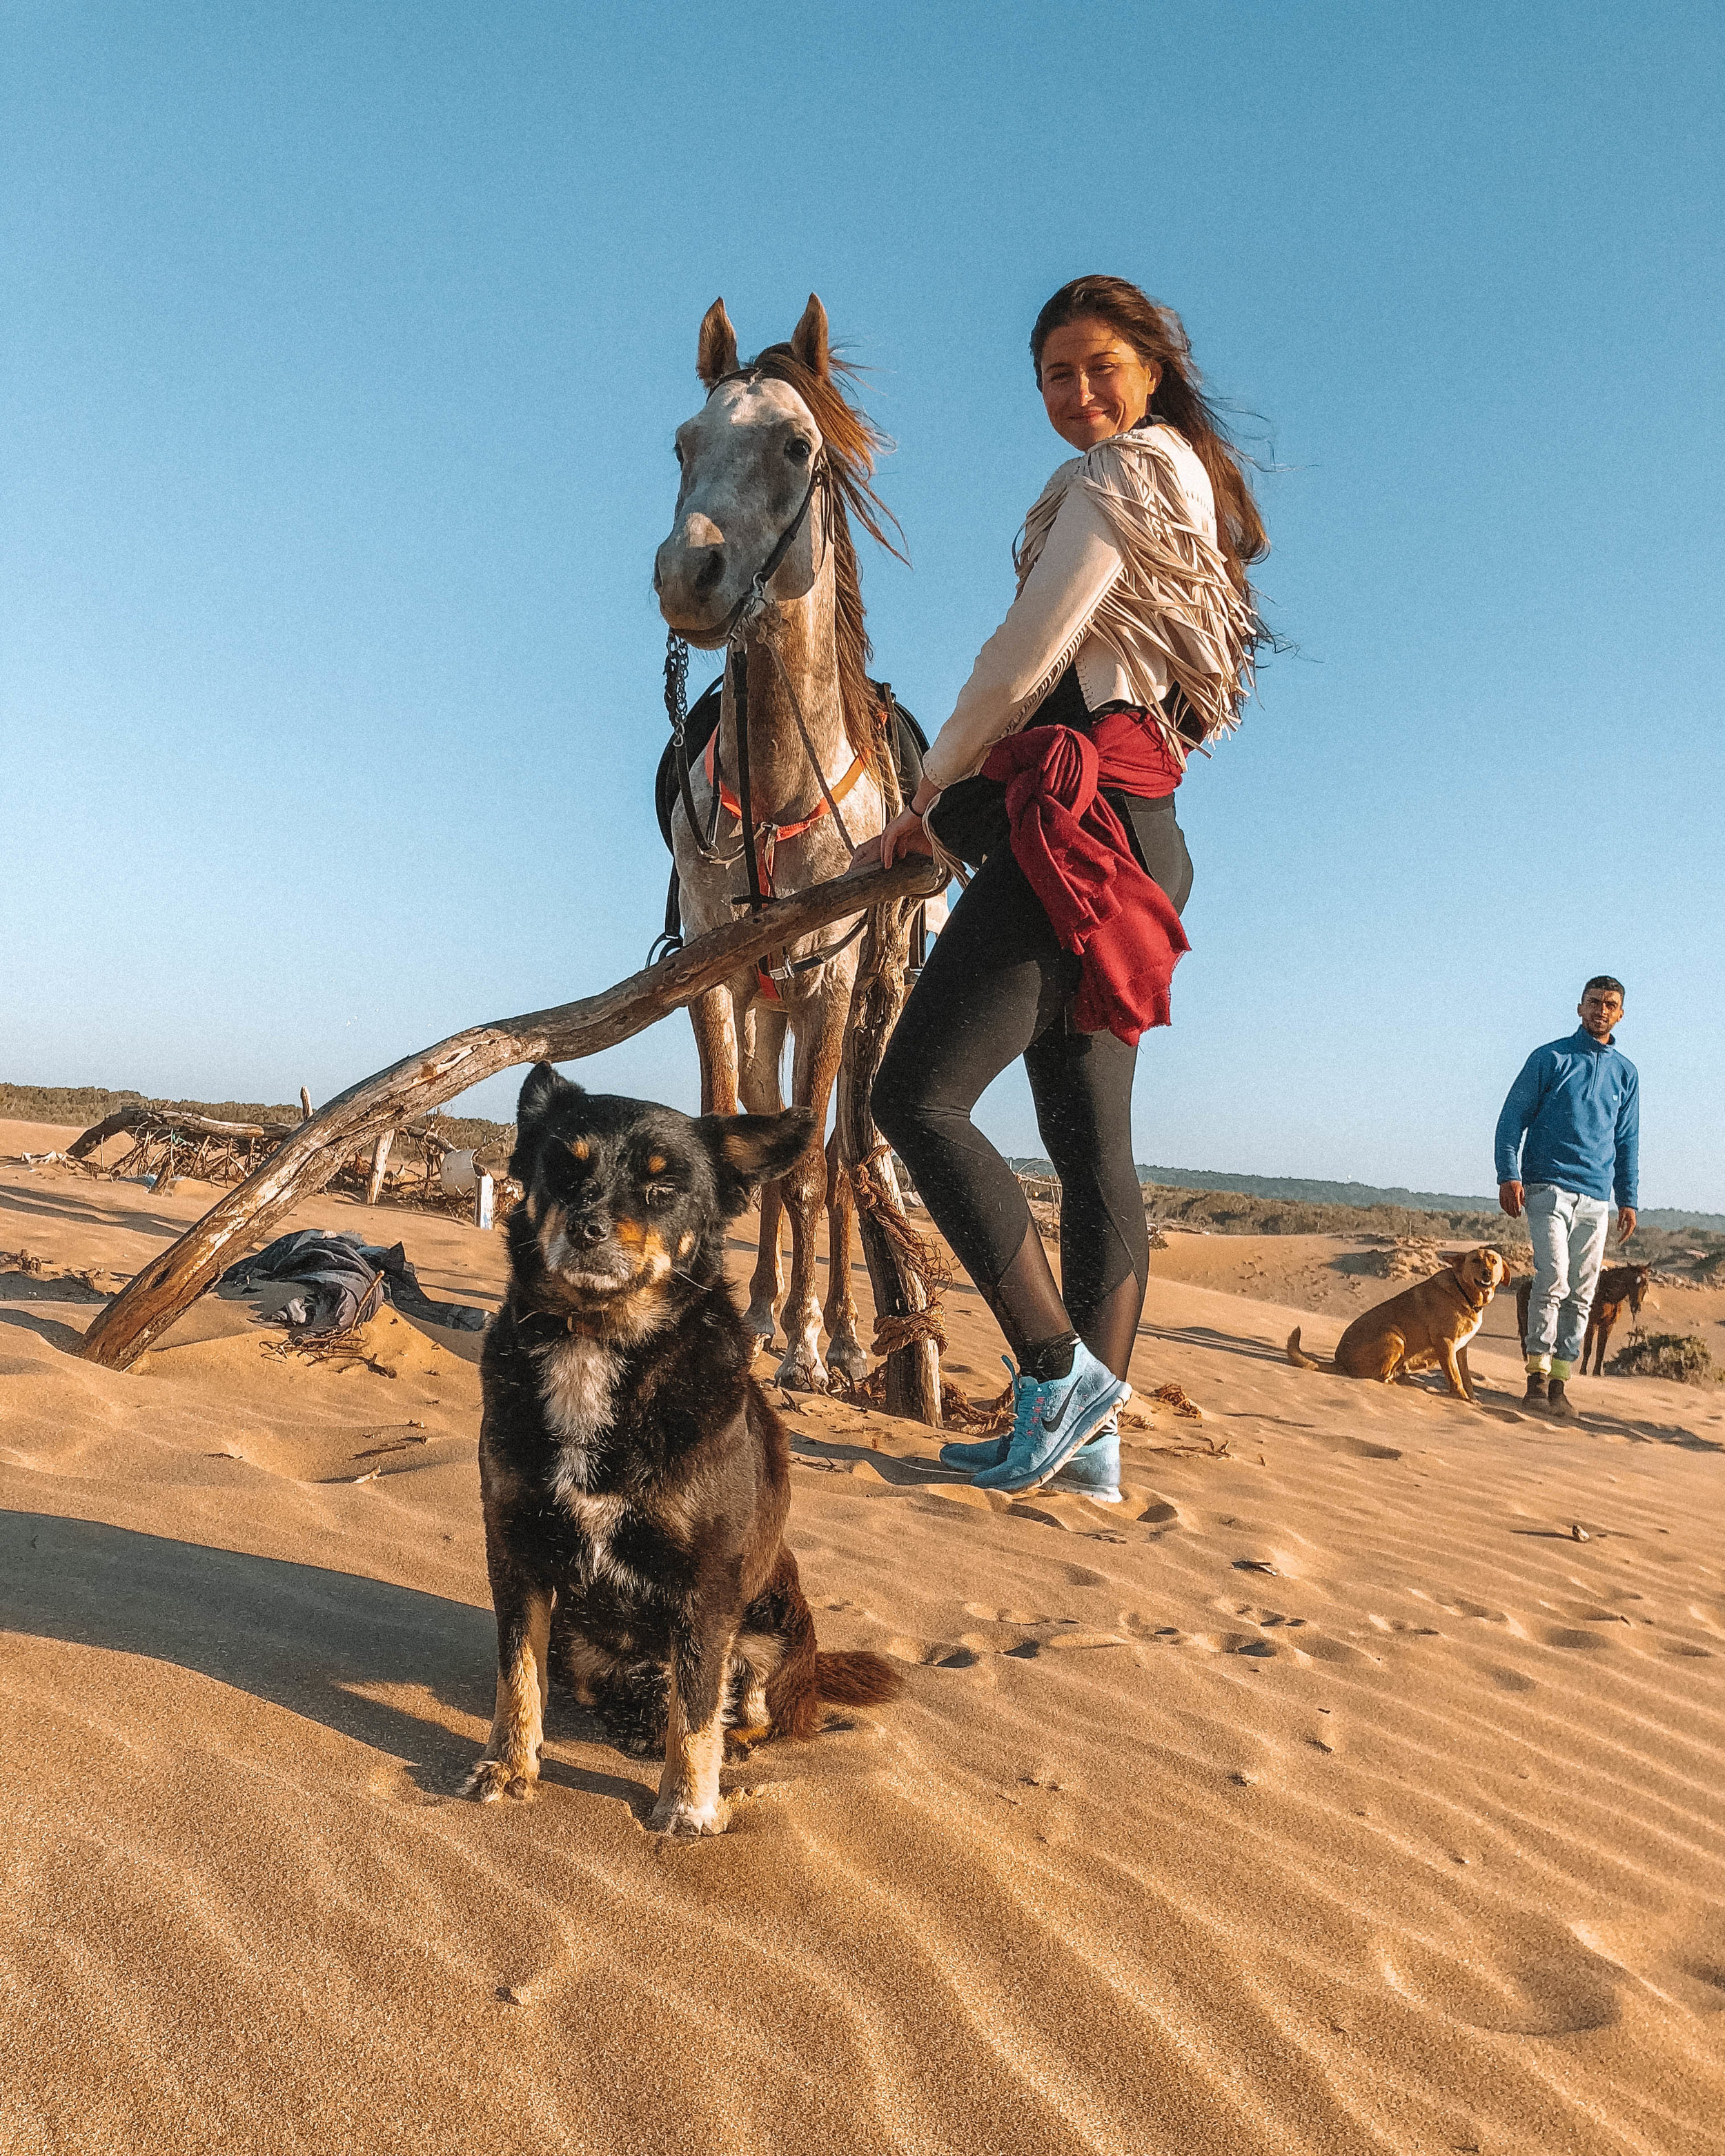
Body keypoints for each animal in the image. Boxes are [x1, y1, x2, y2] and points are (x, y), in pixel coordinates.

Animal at [472, 1060, 901, 1837]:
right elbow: (517, 1678)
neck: (599, 1338)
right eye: (563, 1168)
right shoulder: (516, 1551)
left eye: (663, 1186)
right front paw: (510, 1765)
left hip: (773, 1628)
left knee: (746, 1706)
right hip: (579, 1633)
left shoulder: (707, 1585)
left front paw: (689, 1804)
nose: (586, 1228)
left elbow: (697, 1707)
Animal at [1285, 1242, 1501, 1405]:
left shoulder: (1461, 1349)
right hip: (1394, 1336)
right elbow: (1455, 1377)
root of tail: (1340, 1362)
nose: (1487, 1273)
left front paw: (1471, 1398)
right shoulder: (1446, 1343)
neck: (1464, 1293)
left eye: (1494, 1261)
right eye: (1475, 1260)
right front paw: (1462, 1399)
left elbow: (1466, 1377)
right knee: (1380, 1376)